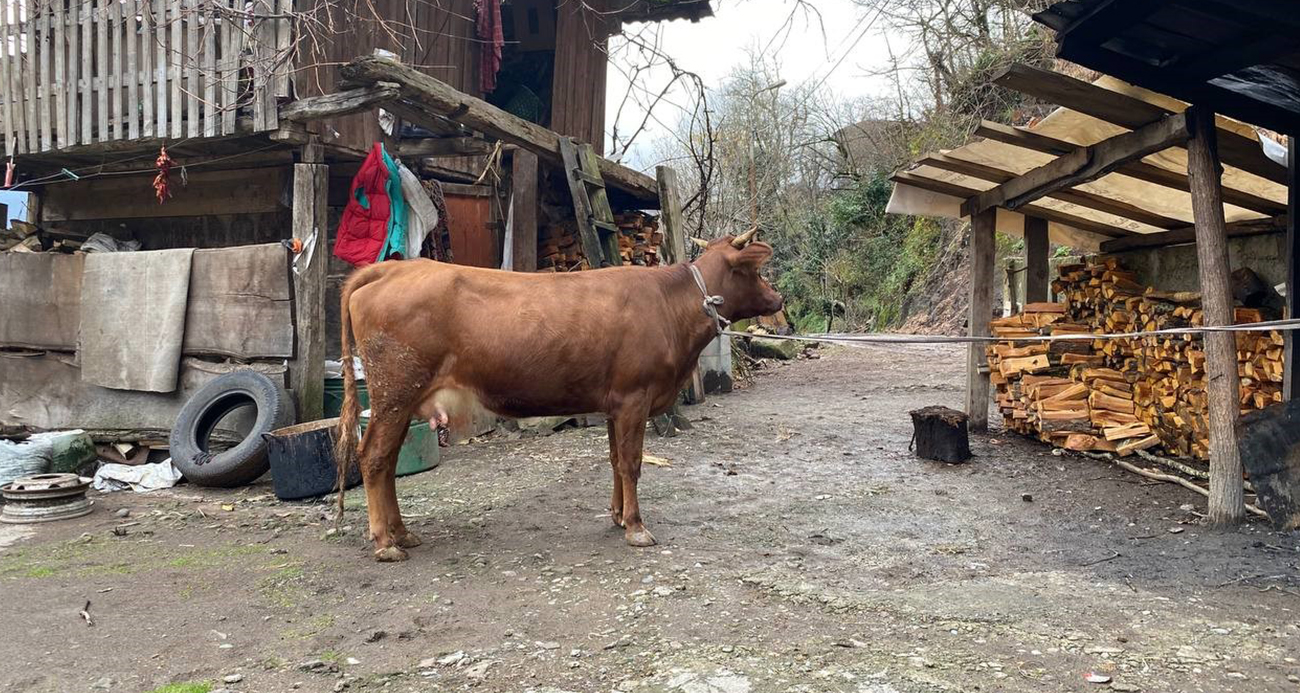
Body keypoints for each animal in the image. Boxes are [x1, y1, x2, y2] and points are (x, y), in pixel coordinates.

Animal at [335, 230, 780, 559]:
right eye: (756, 272)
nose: (778, 299)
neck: (671, 306)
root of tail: (390, 270)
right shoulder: (634, 397)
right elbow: (632, 463)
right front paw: (636, 527)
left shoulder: (615, 403)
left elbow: (615, 460)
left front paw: (618, 516)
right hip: (394, 393)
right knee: (373, 458)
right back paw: (385, 543)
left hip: (403, 399)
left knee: (389, 461)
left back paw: (402, 533)